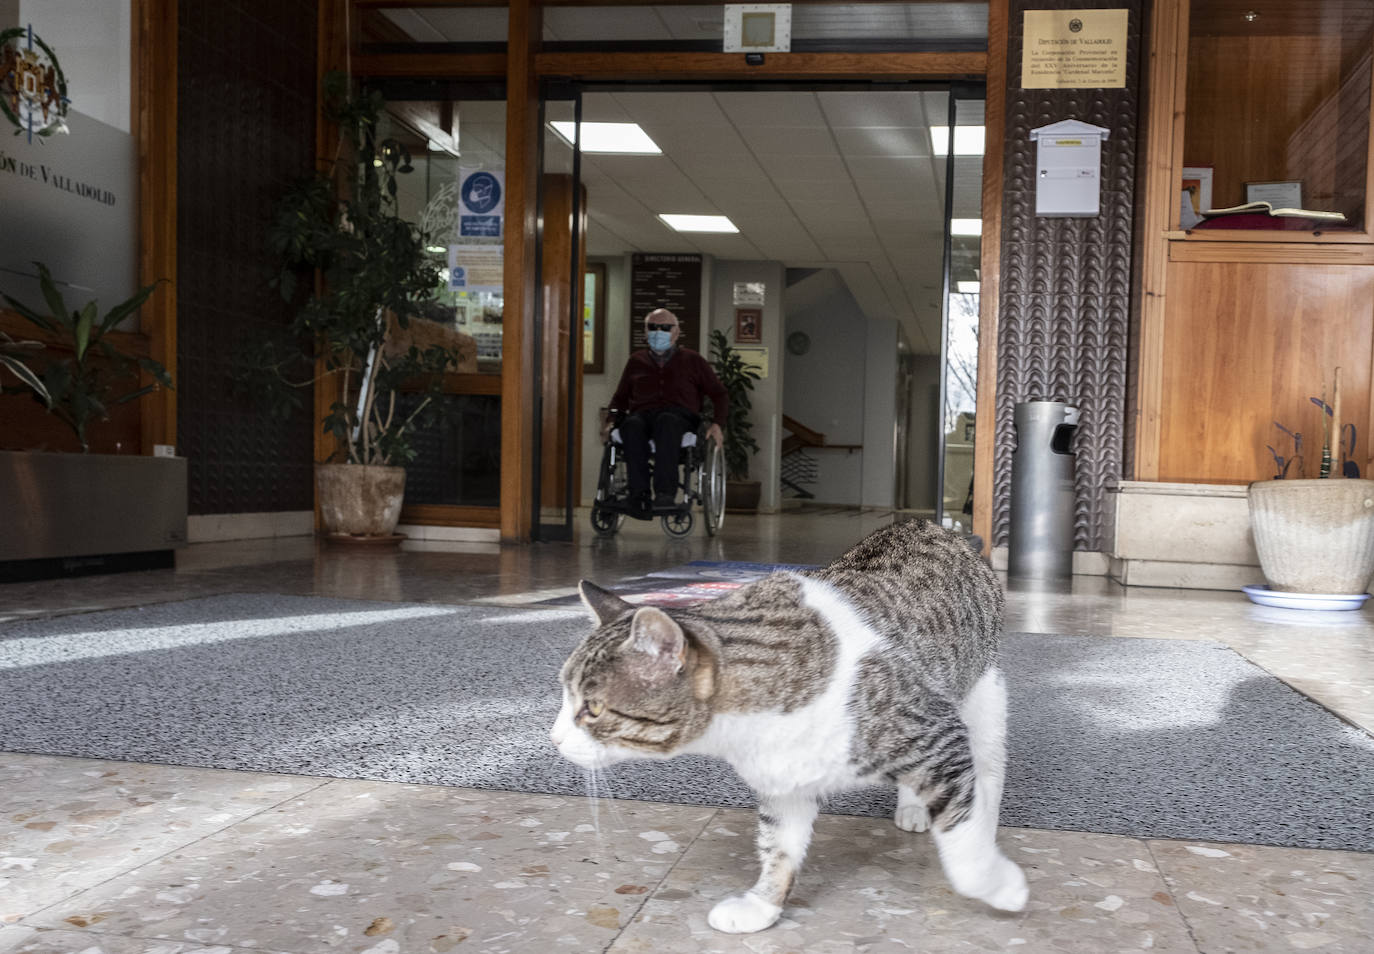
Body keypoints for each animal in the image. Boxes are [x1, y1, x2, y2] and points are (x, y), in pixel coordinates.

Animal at [552, 519, 1027, 940]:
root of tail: (934, 526)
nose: (553, 739)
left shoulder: (932, 727)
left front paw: (999, 884)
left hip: (982, 694)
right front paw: (762, 904)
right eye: (564, 694)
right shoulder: (783, 778)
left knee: (985, 769)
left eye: (593, 708)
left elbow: (964, 833)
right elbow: (779, 846)